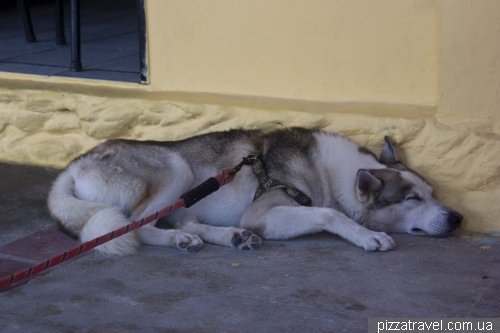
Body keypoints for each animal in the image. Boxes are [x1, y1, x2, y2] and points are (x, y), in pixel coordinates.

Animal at [48, 127, 462, 254]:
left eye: (432, 192)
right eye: (412, 199)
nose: (458, 217)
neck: (334, 174)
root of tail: (75, 164)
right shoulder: (262, 213)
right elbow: (330, 212)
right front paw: (366, 236)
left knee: (184, 220)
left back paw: (229, 236)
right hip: (177, 168)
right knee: (138, 225)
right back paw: (181, 240)